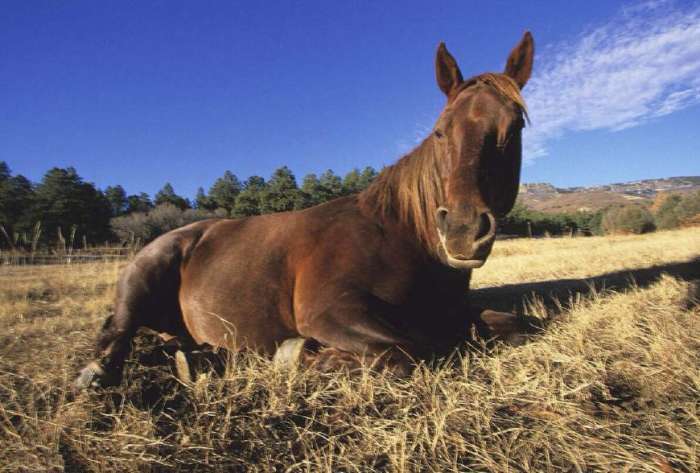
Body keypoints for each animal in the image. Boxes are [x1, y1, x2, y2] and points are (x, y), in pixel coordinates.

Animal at [75, 32, 536, 388]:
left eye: (513, 129)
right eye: (440, 132)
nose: (462, 230)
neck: (401, 235)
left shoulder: (452, 313)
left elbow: (514, 325)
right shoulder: (331, 312)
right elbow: (409, 350)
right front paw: (303, 356)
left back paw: (200, 358)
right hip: (144, 276)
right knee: (119, 331)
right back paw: (102, 371)